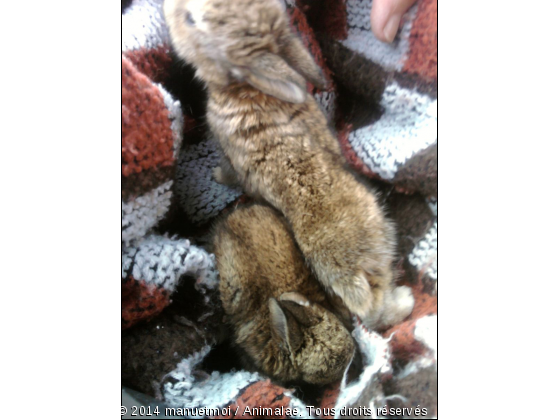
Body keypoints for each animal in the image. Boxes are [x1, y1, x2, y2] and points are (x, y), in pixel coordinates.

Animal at [164, 0, 414, 330]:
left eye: (190, 20)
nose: (166, 9)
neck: (243, 86)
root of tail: (356, 269)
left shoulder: (231, 156)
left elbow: (230, 173)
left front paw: (216, 176)